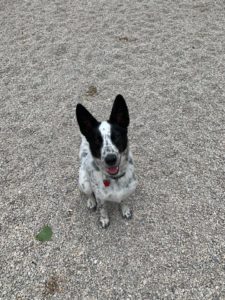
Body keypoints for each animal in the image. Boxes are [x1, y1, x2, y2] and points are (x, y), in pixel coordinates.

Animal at [76, 94, 137, 227]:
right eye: (96, 140)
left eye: (117, 136)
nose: (110, 159)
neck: (114, 179)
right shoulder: (100, 197)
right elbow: (102, 208)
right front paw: (104, 219)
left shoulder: (126, 191)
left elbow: (123, 200)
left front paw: (125, 210)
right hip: (84, 183)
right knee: (89, 194)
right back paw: (91, 202)